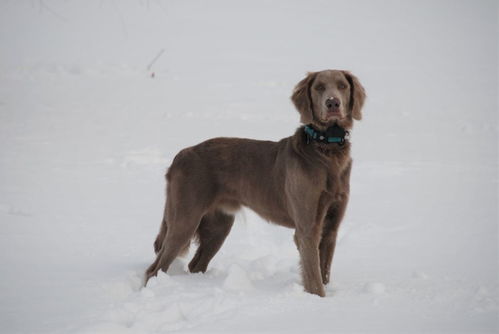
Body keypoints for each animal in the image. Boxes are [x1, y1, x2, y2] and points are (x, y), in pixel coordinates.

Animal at [146, 69, 368, 296]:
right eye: (319, 87)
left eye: (342, 86)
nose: (333, 103)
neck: (326, 150)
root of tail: (180, 155)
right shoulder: (307, 228)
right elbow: (314, 279)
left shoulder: (331, 227)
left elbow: (324, 273)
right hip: (185, 219)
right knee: (154, 269)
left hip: (218, 226)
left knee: (195, 264)